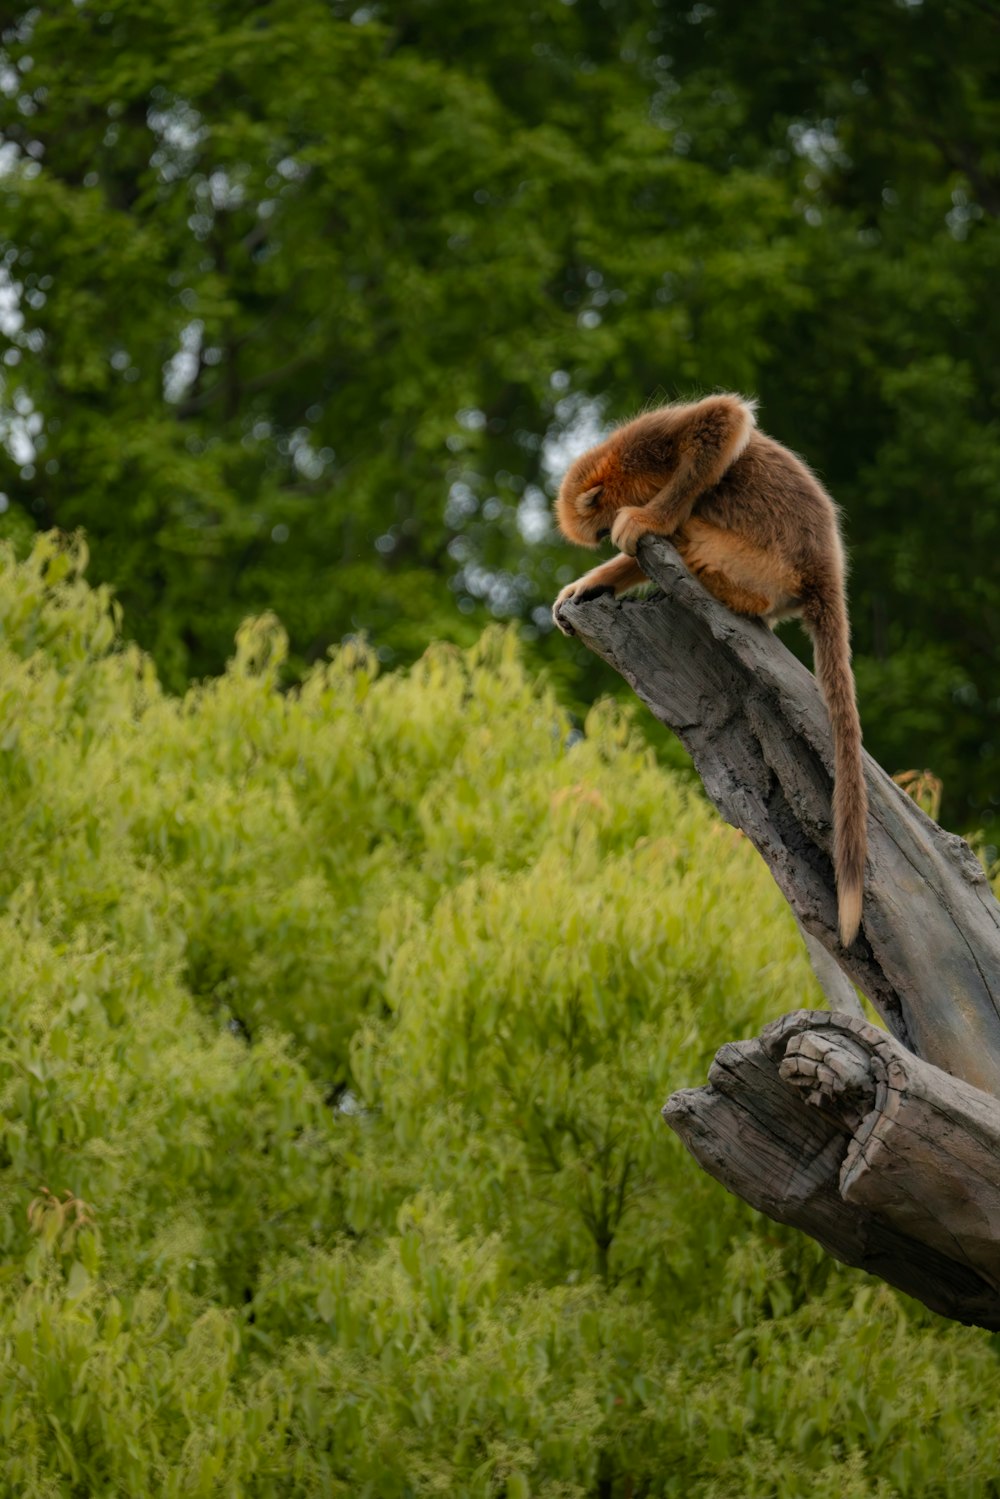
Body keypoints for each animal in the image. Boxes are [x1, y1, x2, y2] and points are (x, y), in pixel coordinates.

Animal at [554, 392, 869, 941]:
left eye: (600, 527)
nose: (605, 539)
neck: (622, 469)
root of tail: (823, 570)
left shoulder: (644, 444)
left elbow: (722, 418)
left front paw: (648, 522)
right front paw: (591, 584)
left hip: (762, 568)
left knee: (699, 530)